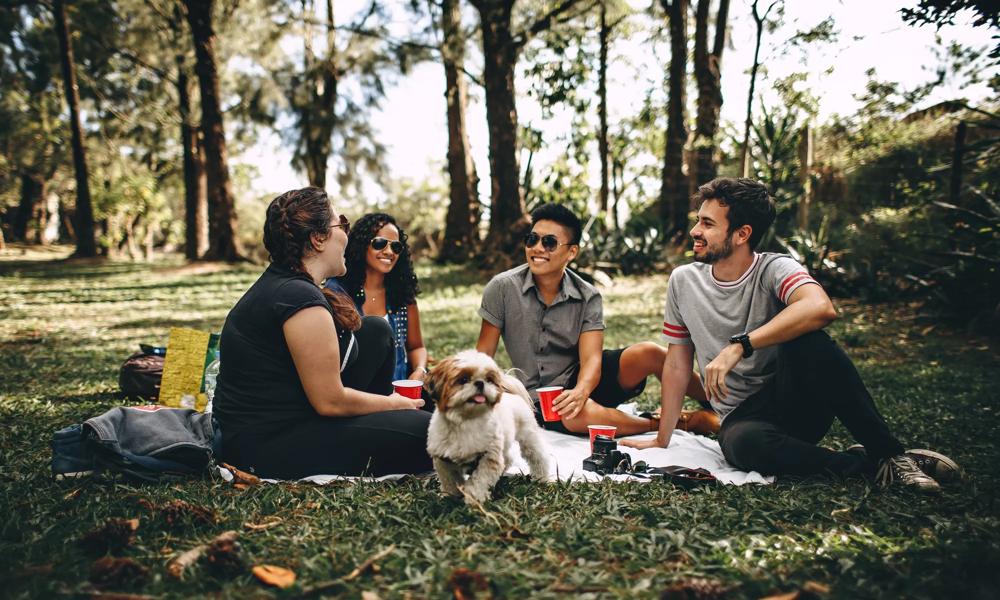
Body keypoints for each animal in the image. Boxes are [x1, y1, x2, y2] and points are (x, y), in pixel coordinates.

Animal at [424, 350, 552, 504]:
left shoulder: (489, 456)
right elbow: (450, 480)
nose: (480, 383)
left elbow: (480, 480)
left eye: (489, 380)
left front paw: (474, 498)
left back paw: (541, 478)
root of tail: (511, 394)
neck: (466, 421)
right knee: (508, 459)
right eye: (463, 379)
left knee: (538, 457)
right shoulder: (443, 459)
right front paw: (450, 496)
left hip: (528, 437)